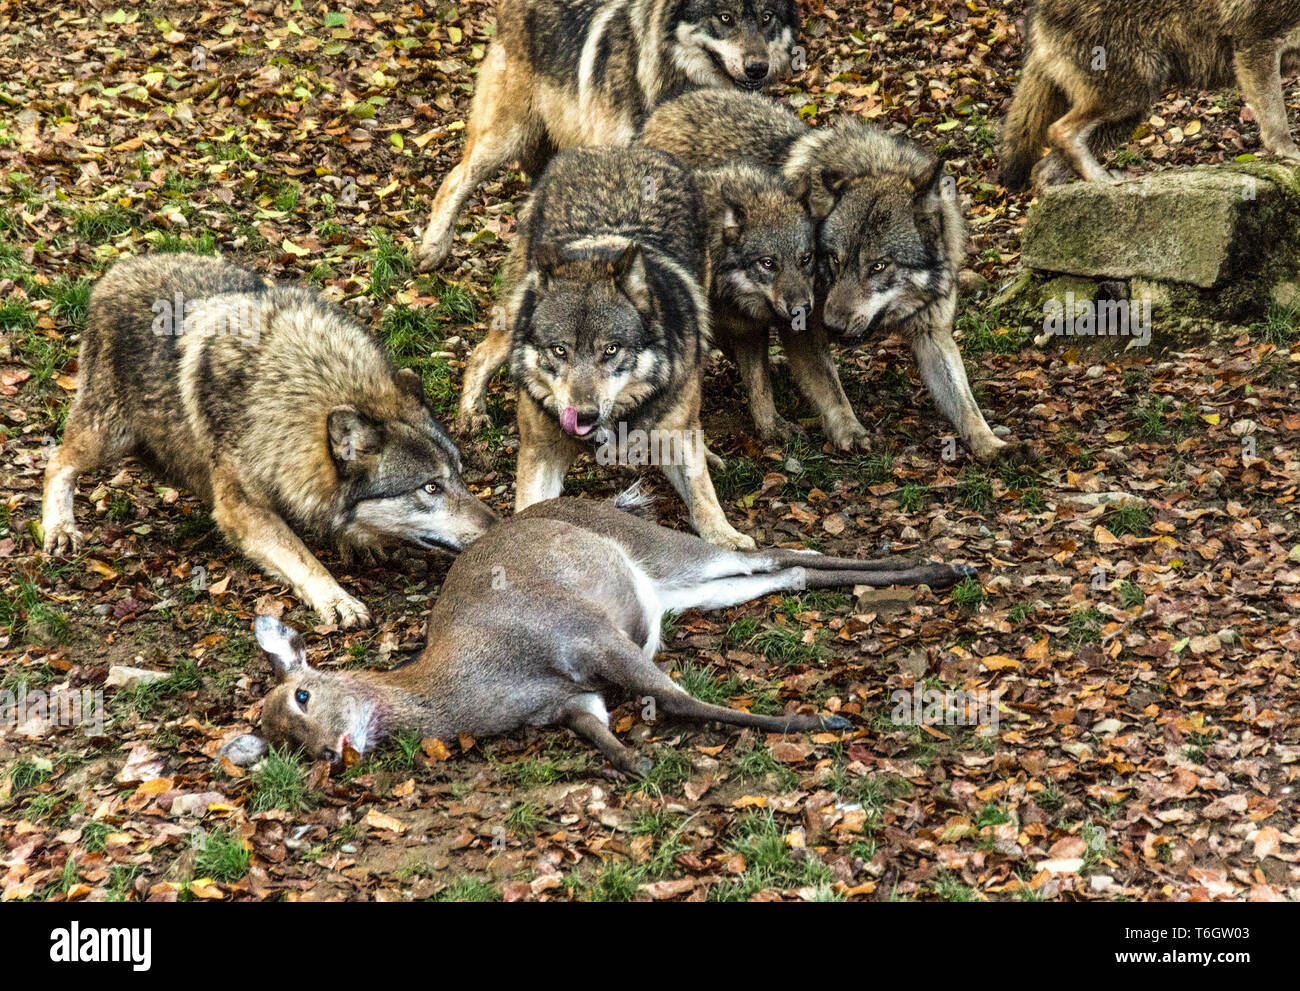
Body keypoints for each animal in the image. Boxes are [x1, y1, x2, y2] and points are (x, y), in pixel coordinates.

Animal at [39, 254, 496, 624]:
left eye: (459, 475)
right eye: (430, 487)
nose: (497, 528)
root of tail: (116, 270)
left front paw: (357, 542)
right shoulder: (242, 509)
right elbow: (301, 556)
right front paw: (337, 599)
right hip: (108, 436)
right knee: (57, 461)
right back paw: (59, 528)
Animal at [250, 486, 977, 769]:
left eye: (303, 694)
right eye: (280, 741)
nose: (331, 751)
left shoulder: (587, 634)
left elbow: (680, 700)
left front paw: (817, 721)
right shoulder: (571, 699)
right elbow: (604, 733)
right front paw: (636, 760)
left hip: (666, 551)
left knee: (775, 552)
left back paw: (946, 564)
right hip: (683, 592)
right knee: (786, 572)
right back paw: (940, 567)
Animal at [416, 0, 800, 270]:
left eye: (767, 17)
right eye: (725, 18)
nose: (758, 68)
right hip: (506, 135)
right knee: (454, 180)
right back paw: (432, 250)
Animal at [644, 89, 1008, 460]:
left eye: (878, 265)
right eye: (834, 259)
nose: (833, 325)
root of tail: (667, 107)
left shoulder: (932, 332)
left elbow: (965, 403)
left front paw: (993, 444)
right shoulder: (802, 329)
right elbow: (831, 389)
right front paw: (851, 432)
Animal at [998, 0, 1300, 188]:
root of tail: (1037, 10)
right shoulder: (1256, 45)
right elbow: (1277, 120)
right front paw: (1290, 153)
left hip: (1125, 118)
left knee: (1043, 169)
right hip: (1131, 95)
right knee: (1059, 131)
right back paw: (1106, 184)